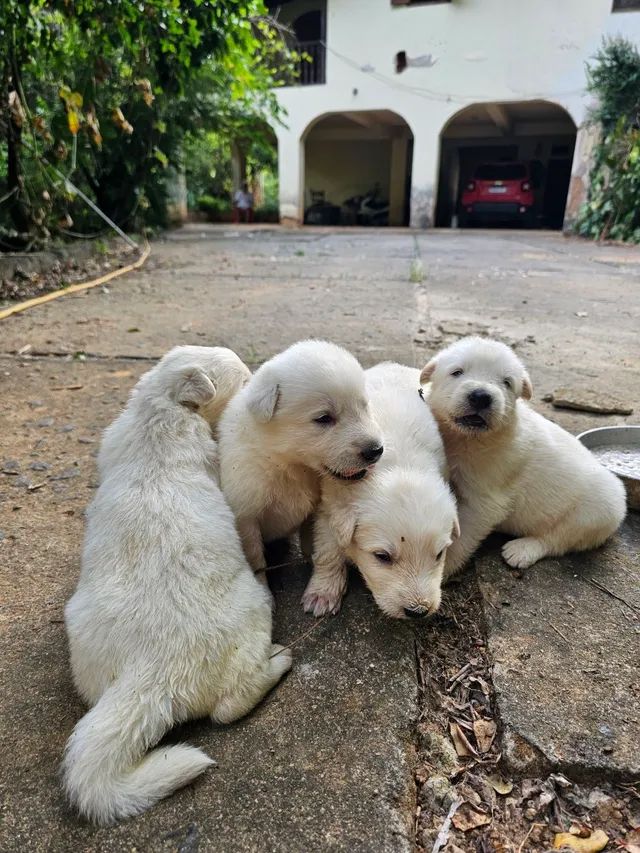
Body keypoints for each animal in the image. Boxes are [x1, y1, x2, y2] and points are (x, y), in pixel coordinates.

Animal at [63, 346, 292, 824]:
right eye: (243, 380)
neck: (159, 412)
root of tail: (155, 672)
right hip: (254, 609)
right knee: (228, 708)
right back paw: (278, 661)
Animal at [218, 340, 382, 572]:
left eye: (364, 406)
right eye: (323, 418)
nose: (376, 450)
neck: (286, 463)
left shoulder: (313, 511)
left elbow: (310, 541)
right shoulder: (245, 515)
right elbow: (256, 559)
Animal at [302, 362, 458, 620]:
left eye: (439, 555)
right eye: (382, 557)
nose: (418, 611)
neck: (400, 466)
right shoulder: (329, 508)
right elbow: (328, 552)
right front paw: (322, 594)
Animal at [420, 336, 624, 576]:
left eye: (506, 382)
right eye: (457, 372)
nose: (481, 397)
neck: (468, 439)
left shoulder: (485, 500)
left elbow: (463, 536)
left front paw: (443, 570)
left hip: (594, 514)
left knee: (558, 539)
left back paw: (522, 550)